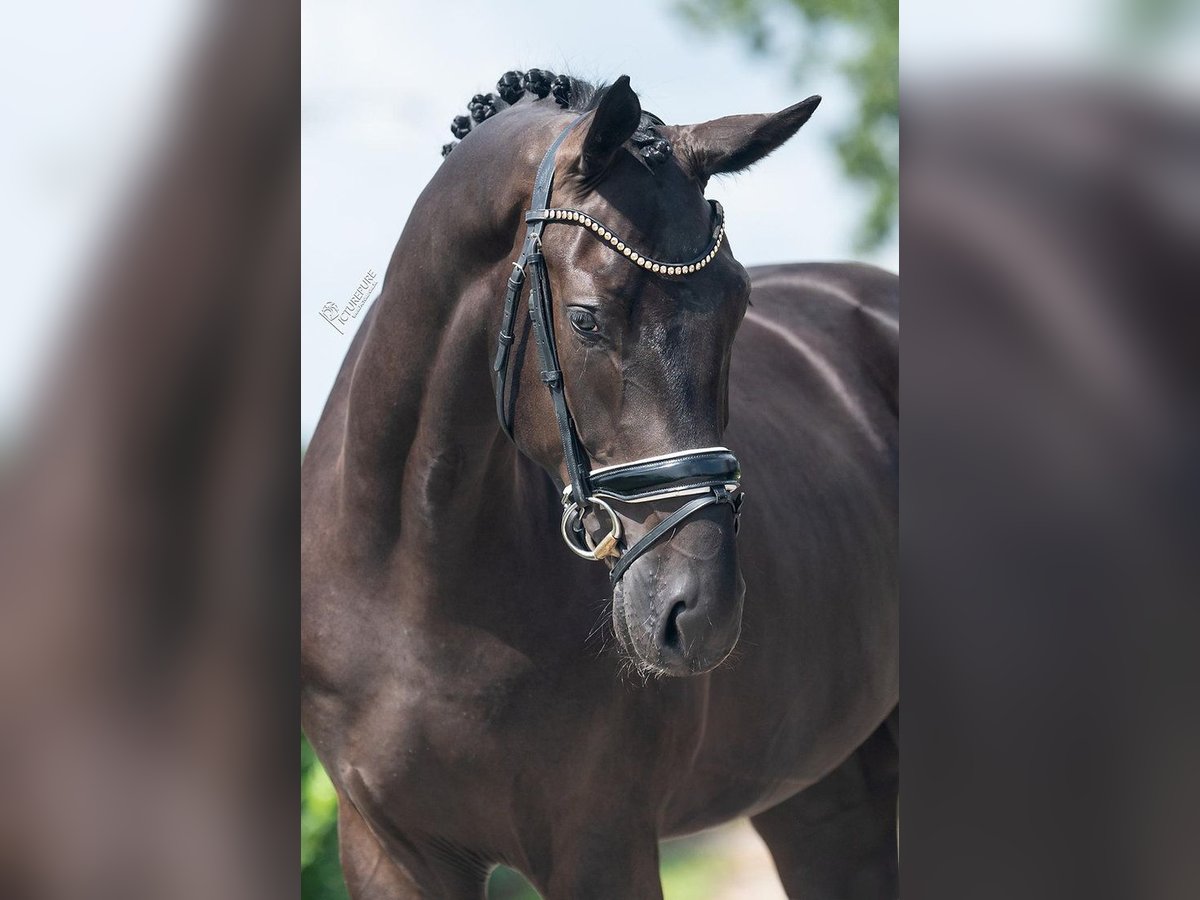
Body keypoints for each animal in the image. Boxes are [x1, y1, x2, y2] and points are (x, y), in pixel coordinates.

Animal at [304, 72, 897, 900]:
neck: (412, 568)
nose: (699, 612)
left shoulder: (601, 842)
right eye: (585, 319)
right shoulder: (385, 849)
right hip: (821, 788)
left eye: (740, 304)